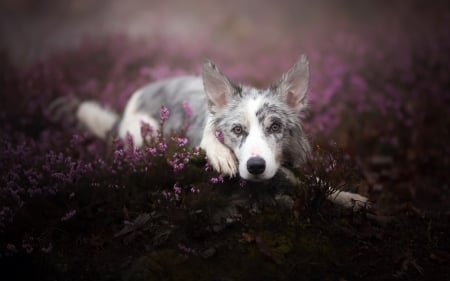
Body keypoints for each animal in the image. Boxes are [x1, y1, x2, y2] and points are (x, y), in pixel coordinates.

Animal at [73, 54, 370, 208]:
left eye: (275, 126)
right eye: (236, 130)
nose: (255, 166)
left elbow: (316, 182)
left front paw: (347, 196)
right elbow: (208, 135)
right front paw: (221, 154)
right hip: (141, 135)